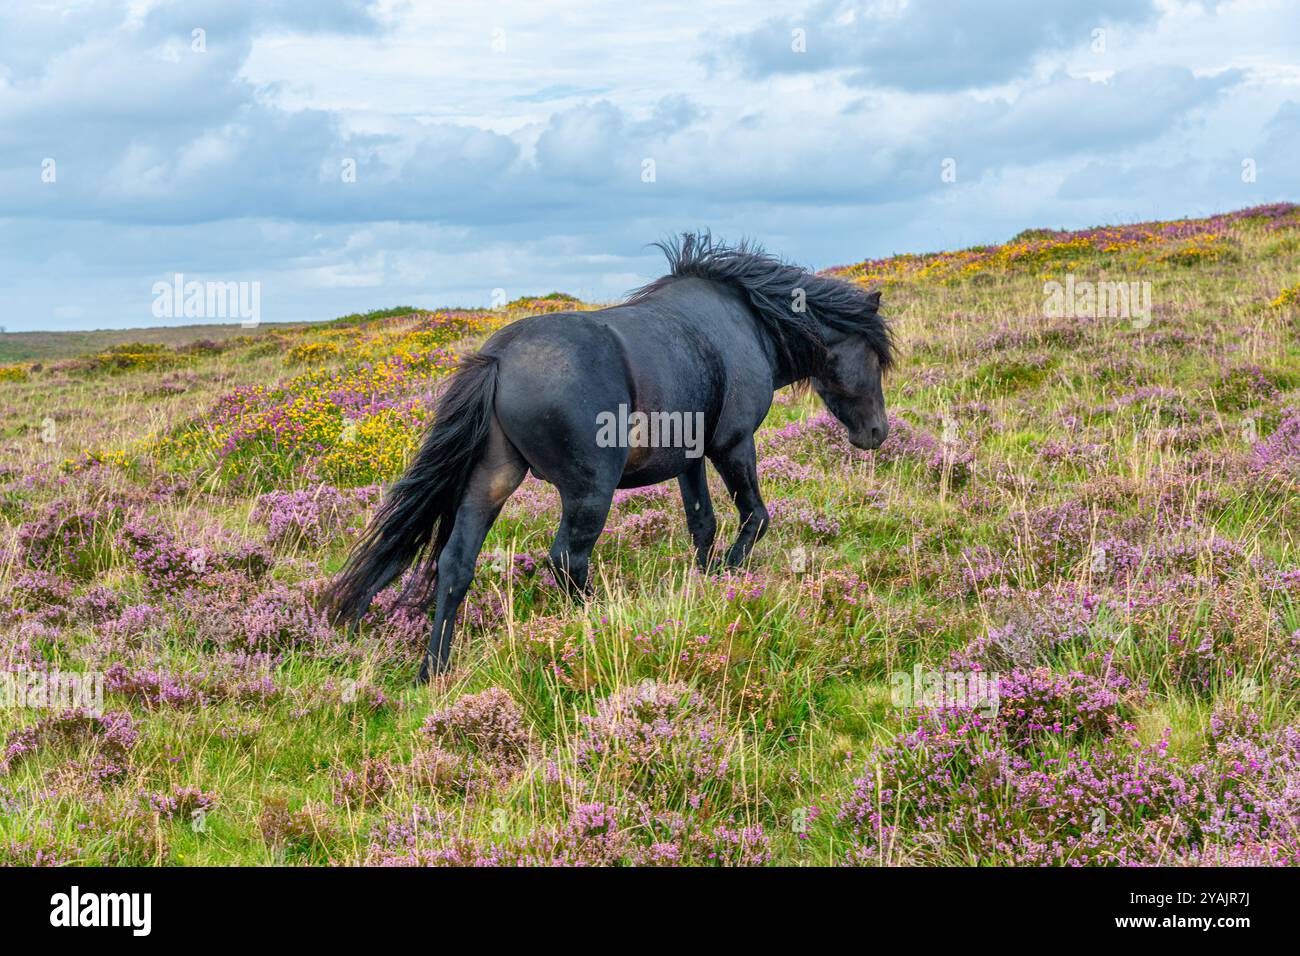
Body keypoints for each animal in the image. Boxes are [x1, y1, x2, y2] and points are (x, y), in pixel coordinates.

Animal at [327, 233, 893, 681]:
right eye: (872, 354)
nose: (877, 434)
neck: (748, 323)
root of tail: (499, 360)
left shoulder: (689, 461)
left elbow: (703, 525)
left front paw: (703, 582)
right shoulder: (733, 446)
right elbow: (754, 516)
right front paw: (729, 578)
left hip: (490, 482)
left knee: (455, 564)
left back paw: (433, 671)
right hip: (588, 492)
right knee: (566, 560)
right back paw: (602, 623)